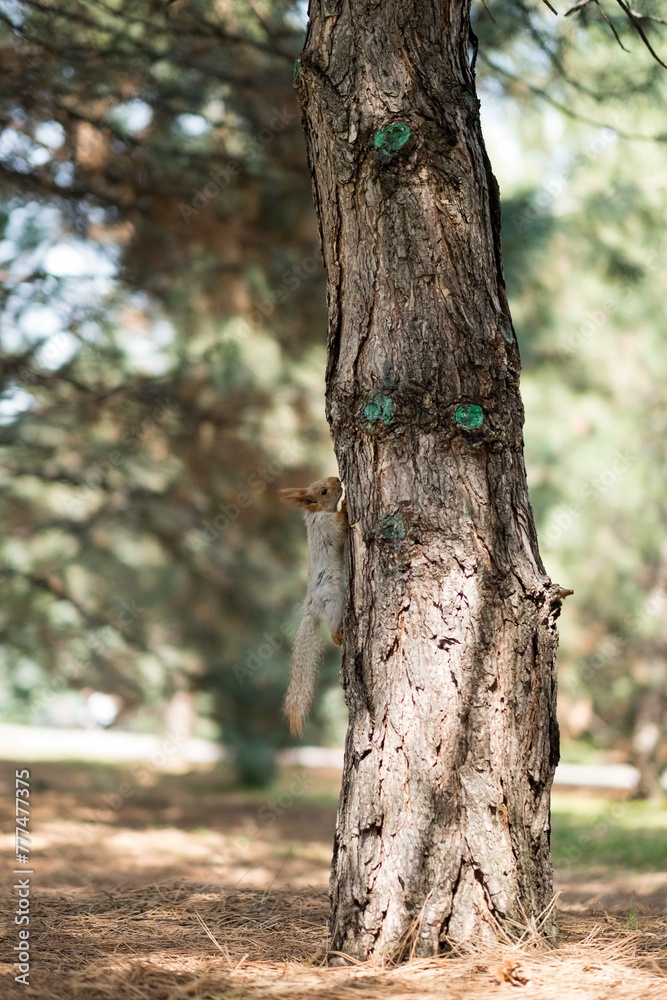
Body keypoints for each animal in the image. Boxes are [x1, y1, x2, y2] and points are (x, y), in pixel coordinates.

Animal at [278, 476, 348, 736]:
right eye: (324, 491)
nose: (337, 478)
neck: (317, 514)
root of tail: (311, 608)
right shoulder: (326, 528)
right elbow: (340, 526)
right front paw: (345, 506)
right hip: (333, 601)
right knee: (333, 631)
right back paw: (339, 635)